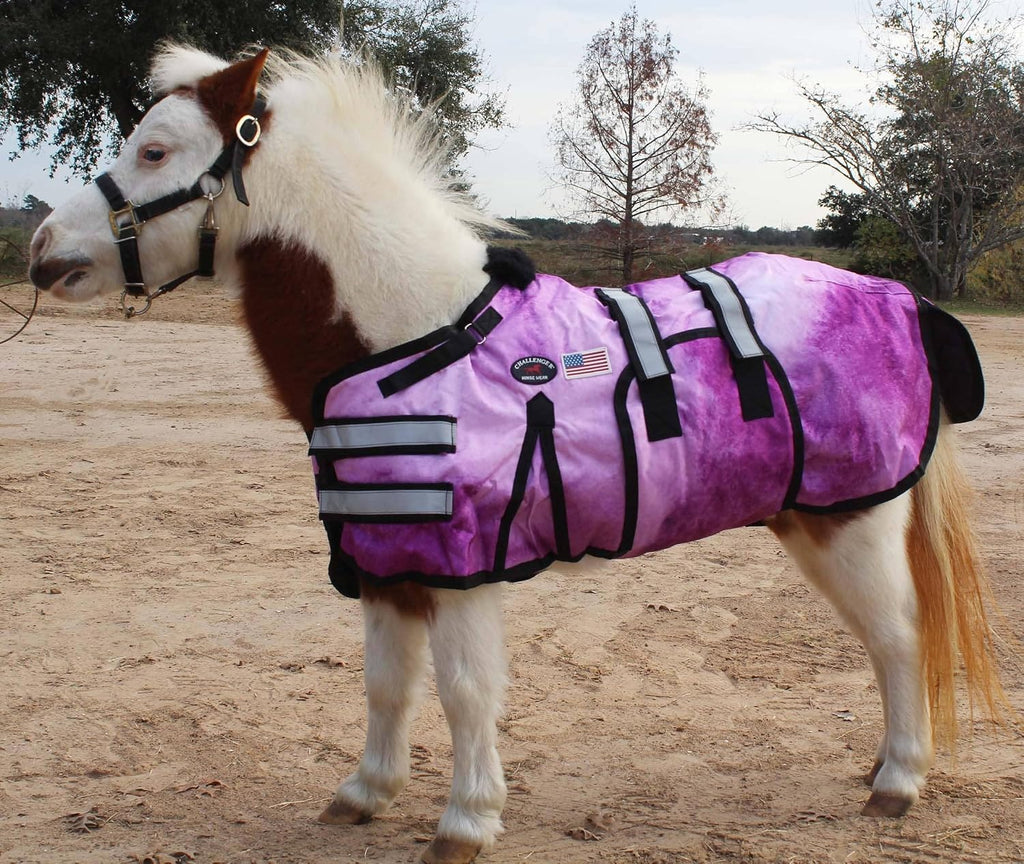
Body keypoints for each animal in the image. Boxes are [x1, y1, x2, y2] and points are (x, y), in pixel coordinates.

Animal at [27, 46, 1006, 864]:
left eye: (155, 151)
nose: (40, 249)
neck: (411, 332)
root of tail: (901, 298)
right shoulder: (389, 561)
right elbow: (387, 684)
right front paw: (366, 792)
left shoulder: (464, 569)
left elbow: (465, 691)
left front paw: (465, 821)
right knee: (886, 641)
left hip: (853, 523)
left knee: (899, 636)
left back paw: (898, 781)